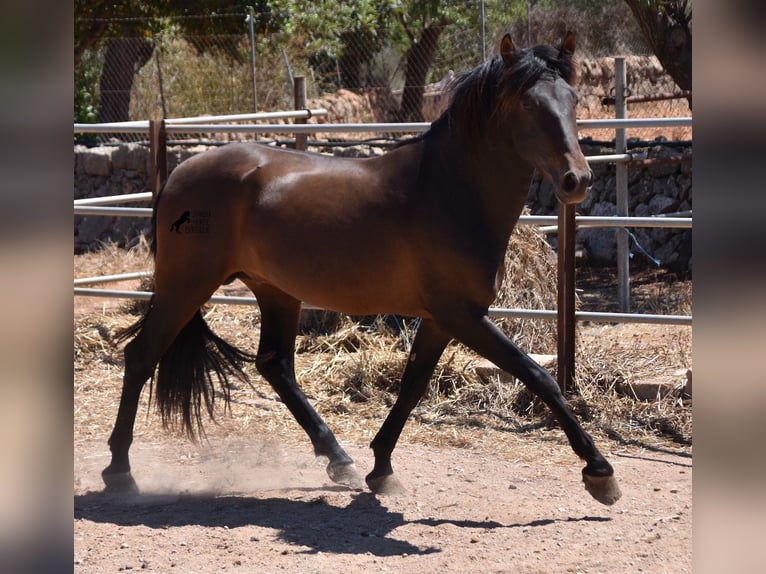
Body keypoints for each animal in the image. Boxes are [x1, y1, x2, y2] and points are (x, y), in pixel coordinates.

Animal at [103, 33, 624, 506]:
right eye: (527, 104)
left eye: (573, 99)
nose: (577, 180)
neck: (452, 190)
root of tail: (179, 173)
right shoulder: (463, 315)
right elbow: (539, 377)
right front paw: (599, 472)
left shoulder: (441, 320)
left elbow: (412, 386)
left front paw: (381, 469)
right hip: (186, 286)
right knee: (141, 356)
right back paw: (120, 474)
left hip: (276, 291)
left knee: (275, 366)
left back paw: (340, 460)